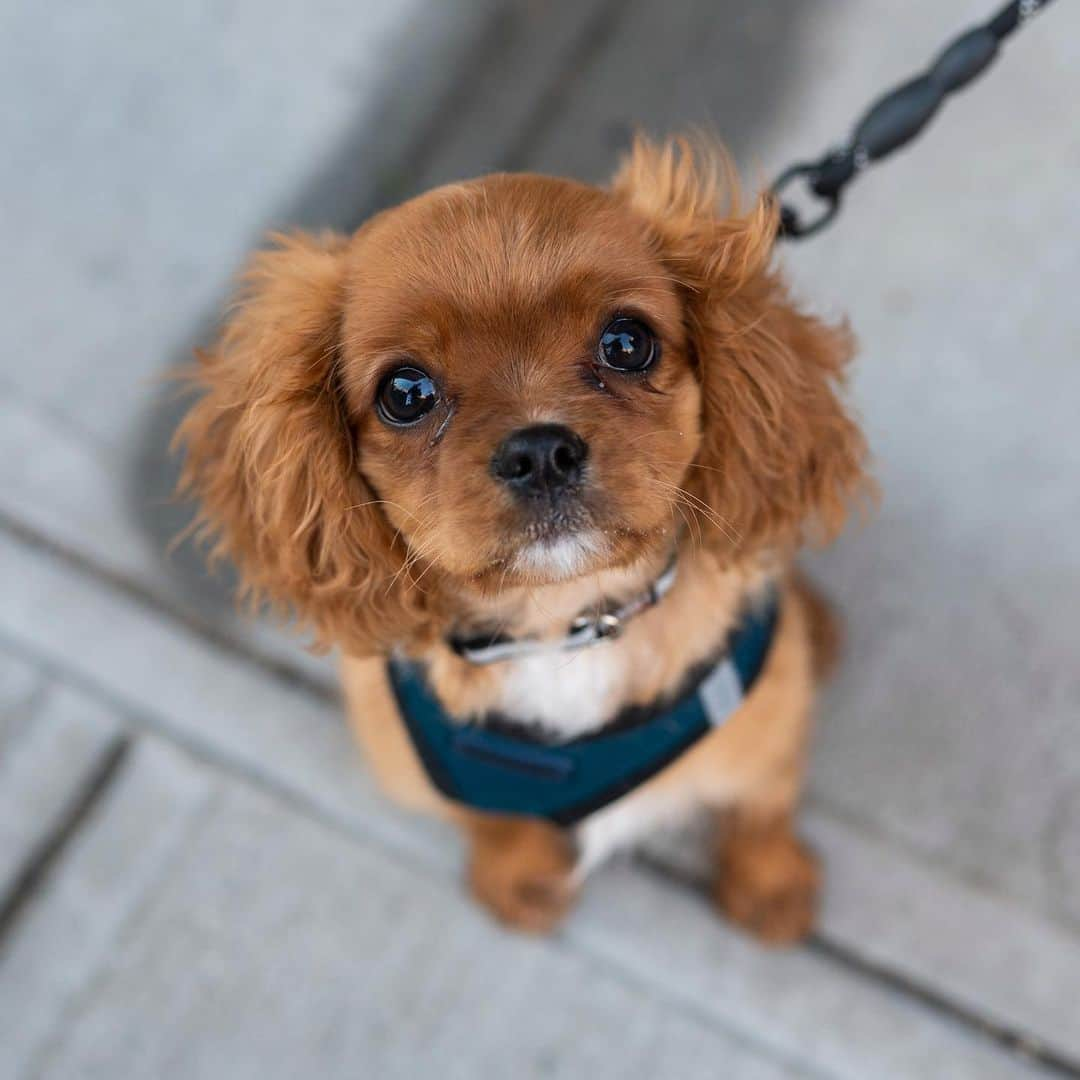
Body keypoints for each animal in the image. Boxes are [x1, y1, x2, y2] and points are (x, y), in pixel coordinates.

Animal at [177, 139, 868, 941]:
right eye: (404, 393)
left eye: (627, 342)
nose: (540, 451)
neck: (566, 626)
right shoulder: (415, 766)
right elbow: (489, 819)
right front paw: (518, 877)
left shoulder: (768, 730)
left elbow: (761, 808)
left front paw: (771, 887)